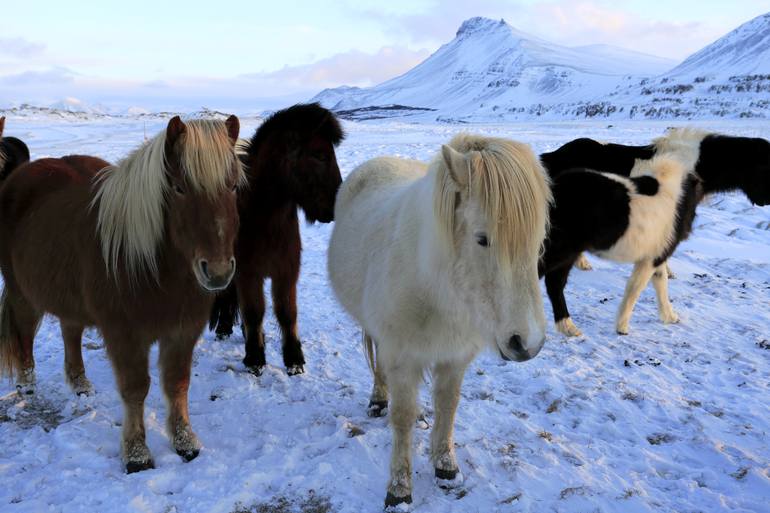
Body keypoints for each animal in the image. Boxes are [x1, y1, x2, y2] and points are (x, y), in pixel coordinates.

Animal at [0, 116, 240, 472]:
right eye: (179, 188)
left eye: (234, 186)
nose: (219, 272)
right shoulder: (124, 334)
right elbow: (135, 388)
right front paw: (137, 453)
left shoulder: (183, 331)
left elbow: (177, 383)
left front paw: (185, 441)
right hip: (22, 293)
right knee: (24, 333)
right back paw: (26, 384)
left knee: (70, 331)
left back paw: (80, 384)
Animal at [208, 105, 344, 376]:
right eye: (319, 155)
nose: (334, 208)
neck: (267, 222)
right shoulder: (248, 273)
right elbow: (254, 311)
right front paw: (255, 358)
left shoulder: (286, 271)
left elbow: (286, 312)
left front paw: (294, 360)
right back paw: (225, 328)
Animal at [328, 134, 548, 506]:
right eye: (482, 238)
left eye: (538, 241)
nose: (527, 344)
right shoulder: (402, 356)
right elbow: (402, 417)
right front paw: (399, 488)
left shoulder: (455, 358)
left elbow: (448, 406)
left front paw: (446, 466)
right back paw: (379, 399)